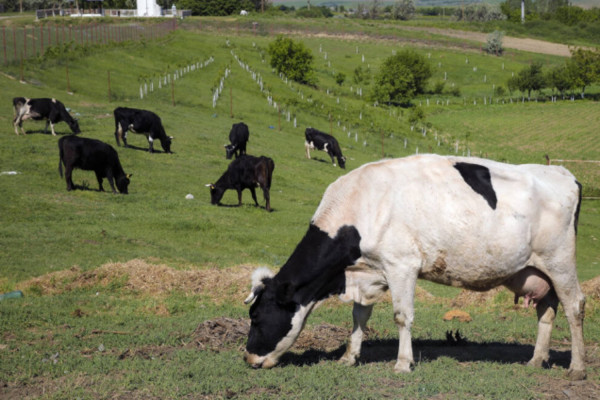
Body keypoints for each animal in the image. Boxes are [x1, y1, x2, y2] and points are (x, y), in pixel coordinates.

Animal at [245, 154, 584, 382]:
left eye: (257, 317)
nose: (248, 358)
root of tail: (562, 172)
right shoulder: (368, 272)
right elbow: (359, 316)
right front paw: (349, 357)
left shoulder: (402, 265)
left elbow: (402, 316)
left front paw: (403, 363)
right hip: (539, 271)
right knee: (547, 311)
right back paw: (536, 360)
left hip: (560, 261)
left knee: (574, 306)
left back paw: (577, 367)